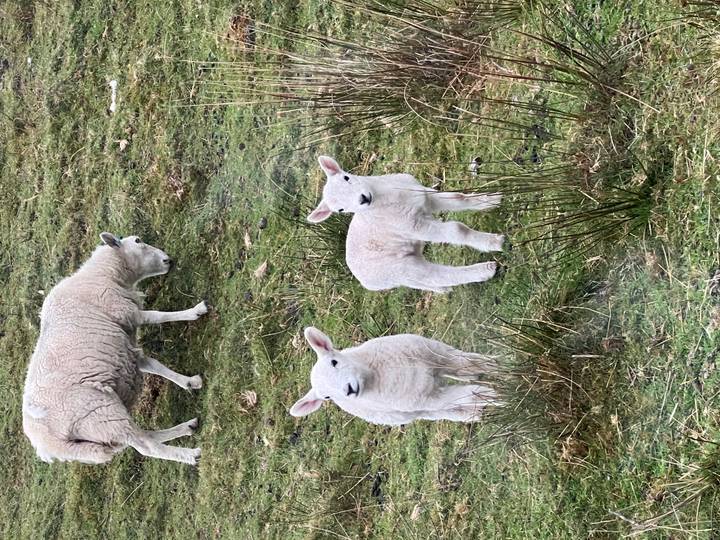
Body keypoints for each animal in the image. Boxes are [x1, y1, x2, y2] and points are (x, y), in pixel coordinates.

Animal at [22, 232, 208, 466]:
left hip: (101, 433)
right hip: (100, 413)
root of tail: (47, 446)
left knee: (142, 437)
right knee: (146, 446)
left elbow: (154, 365)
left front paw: (189, 382)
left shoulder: (123, 349)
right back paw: (191, 455)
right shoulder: (126, 312)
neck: (104, 275)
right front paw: (195, 311)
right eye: (137, 241)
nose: (169, 260)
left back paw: (187, 427)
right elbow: (159, 316)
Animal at [290, 327, 498, 425]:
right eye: (327, 397)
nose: (349, 390)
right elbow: (466, 394)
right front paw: (494, 396)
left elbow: (466, 363)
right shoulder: (429, 399)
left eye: (334, 362)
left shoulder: (436, 353)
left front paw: (496, 366)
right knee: (442, 412)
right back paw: (472, 415)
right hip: (412, 412)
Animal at [307, 156, 505, 293]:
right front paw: (494, 242)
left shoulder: (426, 196)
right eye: (340, 210)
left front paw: (493, 200)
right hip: (398, 269)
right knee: (434, 275)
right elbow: (455, 230)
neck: (387, 196)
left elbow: (459, 198)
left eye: (346, 178)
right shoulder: (411, 226)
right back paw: (486, 270)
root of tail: (362, 279)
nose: (363, 199)